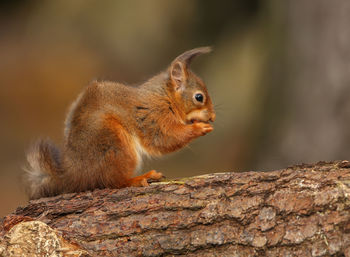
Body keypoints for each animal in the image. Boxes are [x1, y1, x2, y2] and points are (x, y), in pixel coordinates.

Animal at [23, 46, 213, 198]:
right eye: (199, 97)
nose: (213, 117)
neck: (164, 96)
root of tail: (74, 175)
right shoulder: (153, 116)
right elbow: (165, 138)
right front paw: (200, 128)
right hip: (115, 143)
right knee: (113, 181)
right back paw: (140, 178)